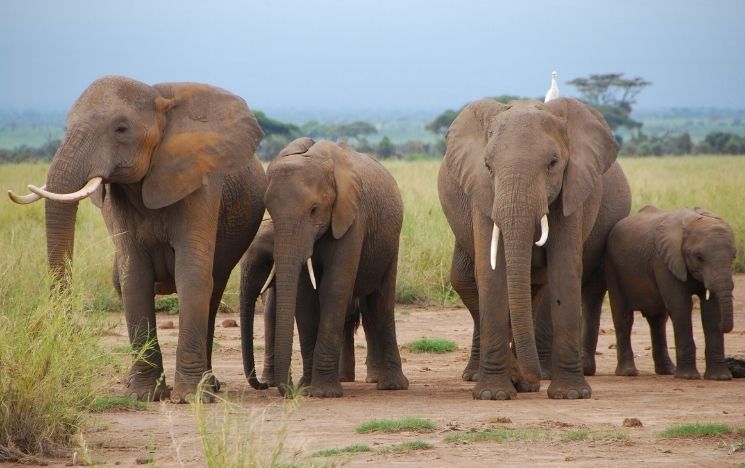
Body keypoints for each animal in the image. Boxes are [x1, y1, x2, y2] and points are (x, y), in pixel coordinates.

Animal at [8, 76, 268, 402]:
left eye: (121, 129)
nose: (65, 336)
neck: (158, 97)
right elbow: (134, 277)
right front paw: (143, 395)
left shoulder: (200, 183)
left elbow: (192, 275)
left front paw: (190, 397)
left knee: (213, 289)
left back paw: (209, 386)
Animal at [237, 218, 378, 388]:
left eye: (266, 262)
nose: (262, 385)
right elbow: (271, 314)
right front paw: (271, 383)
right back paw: (343, 378)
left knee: (365, 317)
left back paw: (369, 379)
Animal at [264, 137, 410, 396]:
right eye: (269, 209)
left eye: (314, 209)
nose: (288, 390)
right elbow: (305, 295)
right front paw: (307, 388)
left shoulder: (353, 218)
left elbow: (334, 287)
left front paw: (323, 393)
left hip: (391, 243)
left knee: (382, 304)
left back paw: (391, 386)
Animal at [438, 97, 632, 400]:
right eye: (488, 166)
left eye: (553, 163)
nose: (531, 378)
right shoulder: (482, 192)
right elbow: (491, 273)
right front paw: (493, 395)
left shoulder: (572, 188)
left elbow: (563, 270)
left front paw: (571, 394)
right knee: (467, 280)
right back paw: (492, 377)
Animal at [608, 207, 736, 380]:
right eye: (699, 257)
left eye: (733, 257)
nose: (724, 327)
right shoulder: (664, 261)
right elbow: (681, 306)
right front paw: (688, 377)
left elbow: (711, 310)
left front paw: (719, 378)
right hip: (612, 269)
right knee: (623, 317)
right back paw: (628, 373)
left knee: (658, 321)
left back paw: (667, 371)